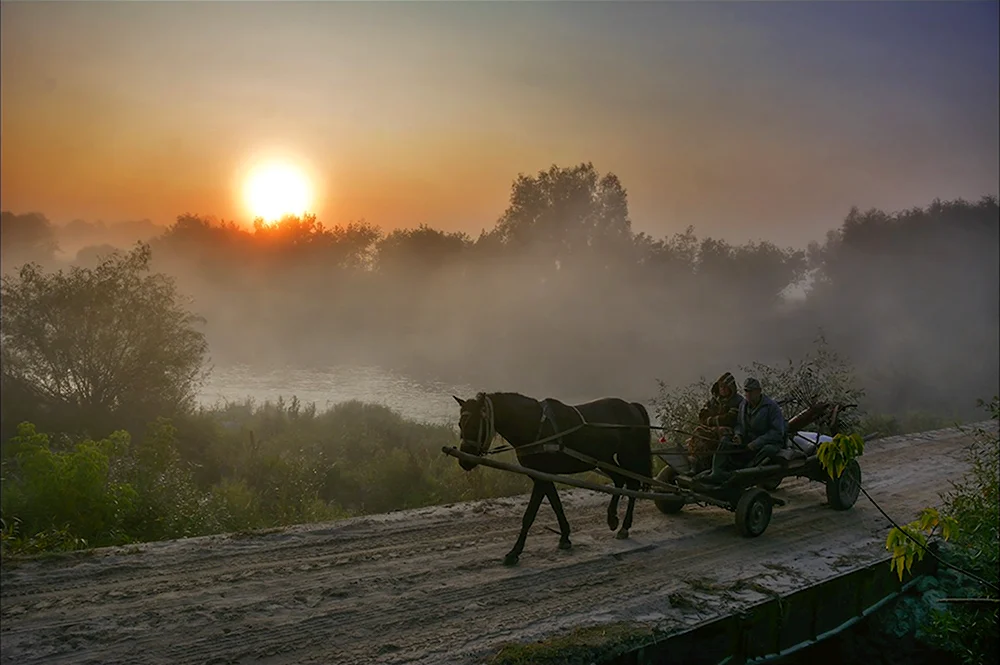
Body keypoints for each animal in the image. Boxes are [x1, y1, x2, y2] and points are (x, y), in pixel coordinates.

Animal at [454, 390, 656, 564]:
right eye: (460, 424)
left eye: (474, 424)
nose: (464, 461)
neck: (534, 425)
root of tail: (631, 406)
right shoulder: (542, 476)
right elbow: (556, 505)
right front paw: (565, 536)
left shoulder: (542, 477)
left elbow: (529, 515)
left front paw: (514, 552)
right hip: (604, 459)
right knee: (620, 480)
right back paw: (613, 518)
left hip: (628, 455)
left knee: (633, 484)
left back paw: (624, 526)